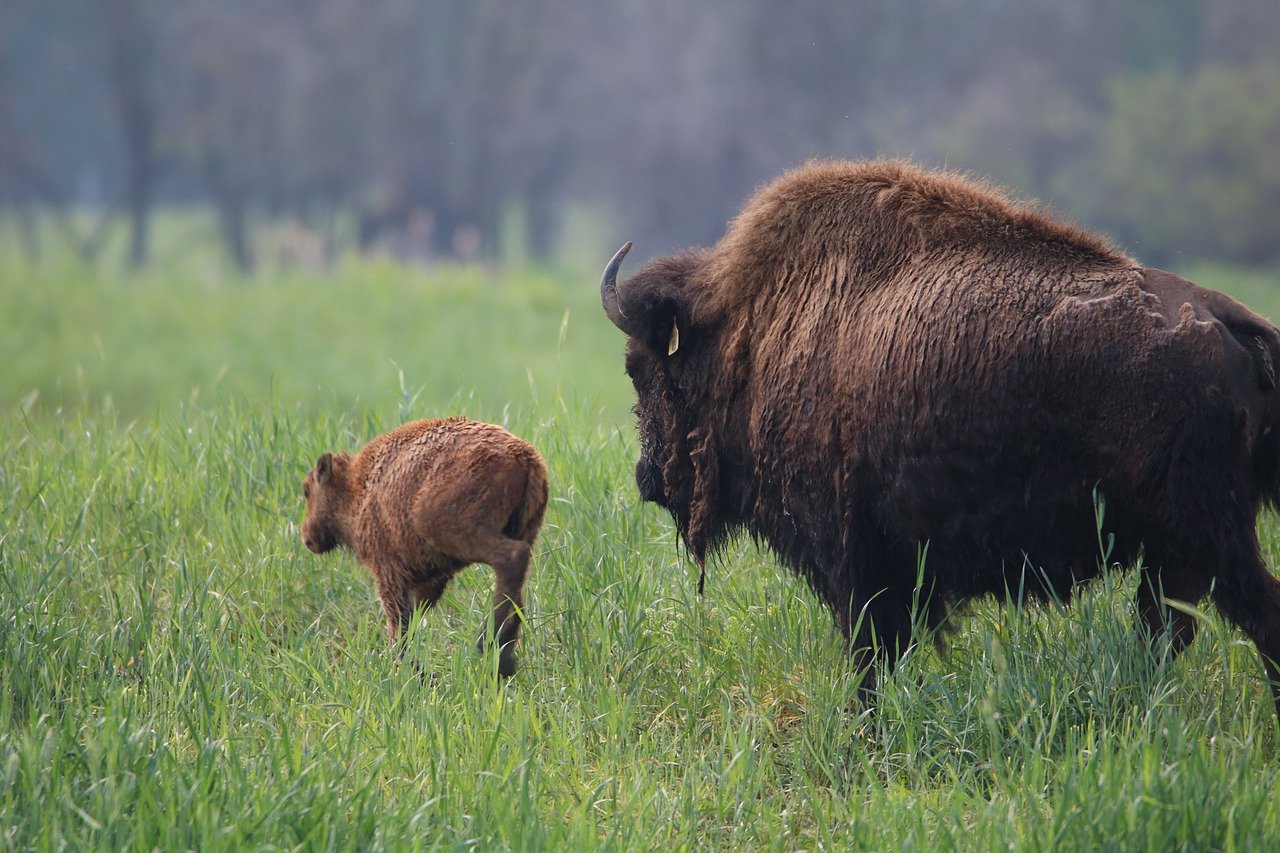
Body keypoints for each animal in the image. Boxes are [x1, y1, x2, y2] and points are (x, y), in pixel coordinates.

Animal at [302, 414, 547, 676]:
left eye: (307, 491)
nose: (307, 538)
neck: (358, 486)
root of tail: (523, 454)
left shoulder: (389, 572)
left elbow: (399, 621)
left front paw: (407, 669)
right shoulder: (428, 581)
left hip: (458, 534)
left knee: (512, 557)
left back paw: (492, 648)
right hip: (523, 529)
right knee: (517, 584)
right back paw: (504, 652)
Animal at [604, 159, 1280, 717]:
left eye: (642, 369)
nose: (646, 477)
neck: (753, 327)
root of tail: (1234, 321)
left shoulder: (853, 554)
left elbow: (870, 652)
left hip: (1206, 533)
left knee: (1251, 616)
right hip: (1177, 550)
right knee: (1169, 630)